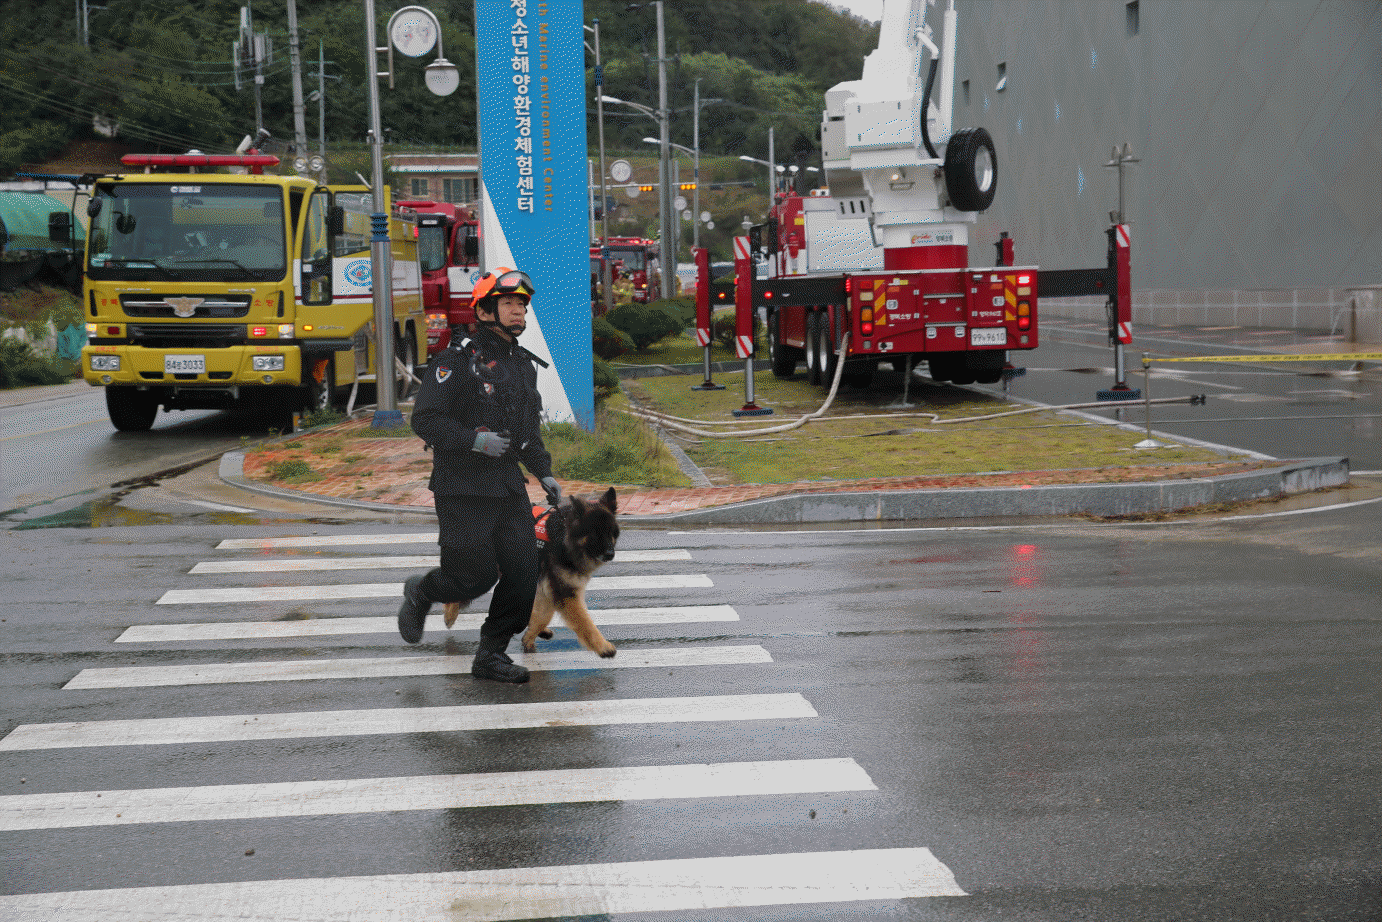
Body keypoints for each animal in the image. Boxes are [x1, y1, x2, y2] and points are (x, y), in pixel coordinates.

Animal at [442, 489, 621, 655]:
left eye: (610, 532)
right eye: (595, 534)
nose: (610, 554)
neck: (564, 537)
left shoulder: (547, 587)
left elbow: (543, 614)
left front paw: (530, 636)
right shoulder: (563, 592)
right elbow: (585, 622)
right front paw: (603, 647)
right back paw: (450, 614)